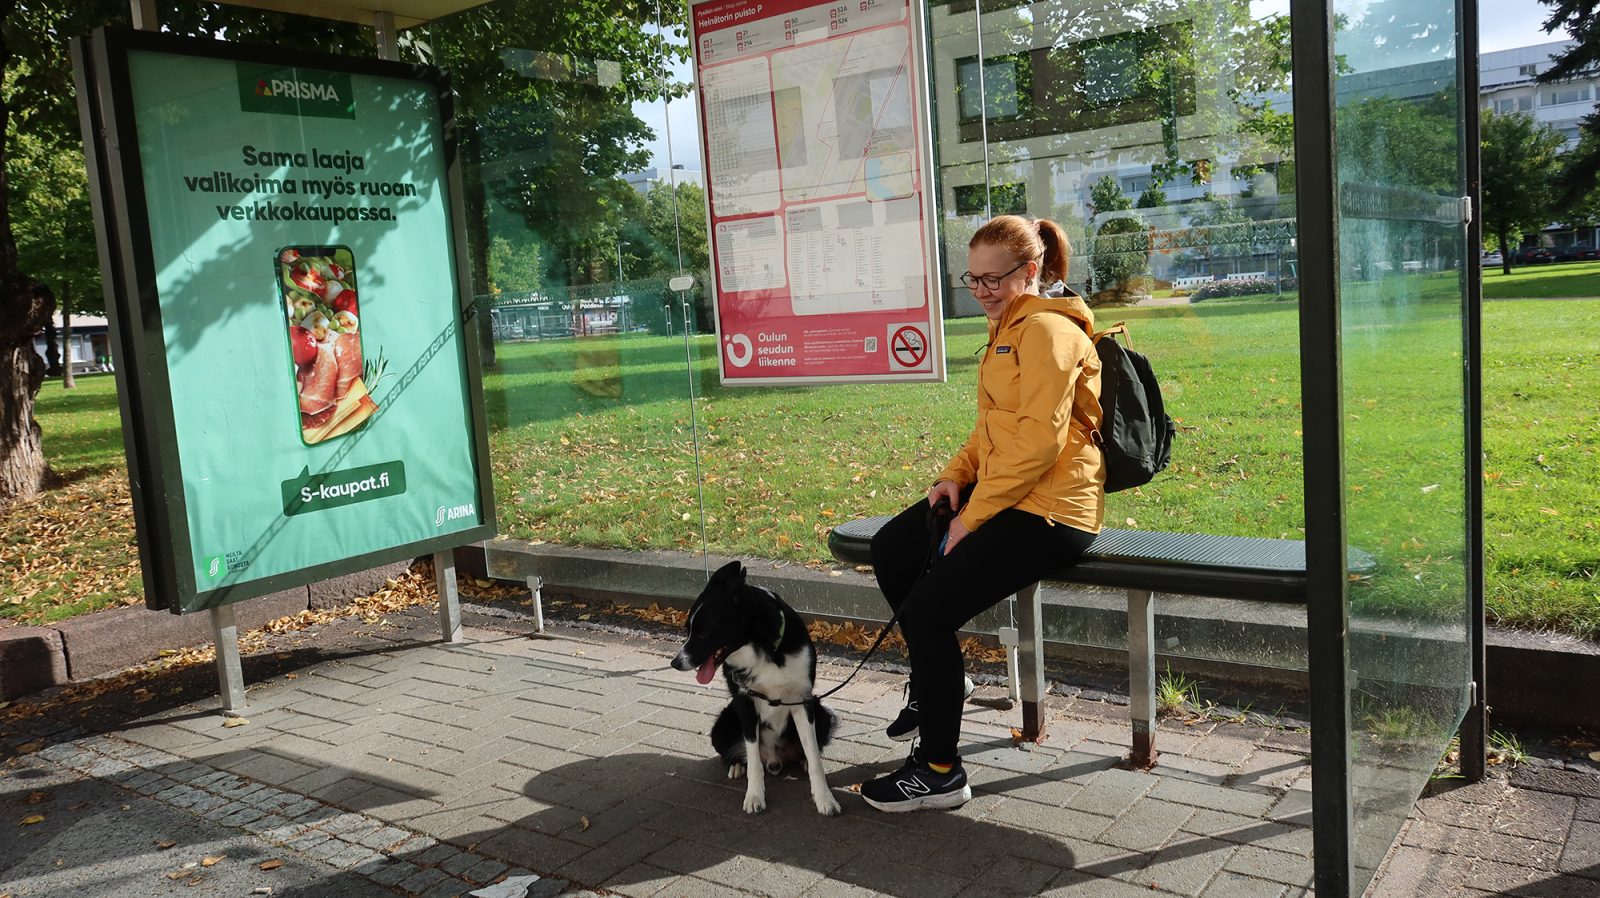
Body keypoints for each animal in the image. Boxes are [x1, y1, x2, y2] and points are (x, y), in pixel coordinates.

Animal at [668, 563, 844, 816]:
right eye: (687, 629)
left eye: (703, 633)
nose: (675, 662)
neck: (764, 648)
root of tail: (774, 760)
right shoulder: (745, 704)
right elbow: (753, 759)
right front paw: (754, 796)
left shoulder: (802, 701)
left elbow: (813, 756)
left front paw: (824, 798)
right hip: (722, 724)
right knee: (743, 756)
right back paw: (736, 766)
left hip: (822, 713)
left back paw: (801, 761)